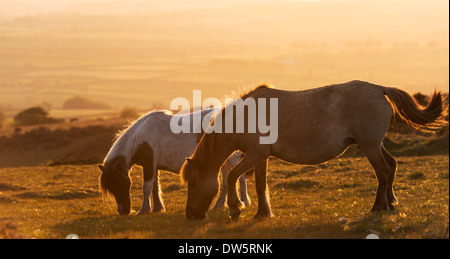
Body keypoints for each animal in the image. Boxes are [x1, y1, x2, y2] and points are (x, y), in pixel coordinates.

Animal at [97, 108, 250, 216]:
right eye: (111, 187)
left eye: (121, 183)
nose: (123, 211)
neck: (140, 139)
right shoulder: (154, 166)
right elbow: (154, 187)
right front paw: (158, 208)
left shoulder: (149, 165)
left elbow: (146, 188)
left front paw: (144, 210)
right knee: (226, 180)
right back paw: (220, 204)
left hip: (232, 158)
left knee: (240, 177)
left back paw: (243, 202)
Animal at [181, 80, 448, 220]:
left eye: (192, 183)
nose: (191, 215)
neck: (244, 116)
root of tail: (378, 88)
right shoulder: (260, 157)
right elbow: (259, 184)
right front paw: (262, 214)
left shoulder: (254, 155)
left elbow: (232, 177)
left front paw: (236, 208)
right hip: (374, 145)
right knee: (391, 165)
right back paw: (391, 202)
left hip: (370, 146)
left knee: (382, 171)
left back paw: (377, 207)